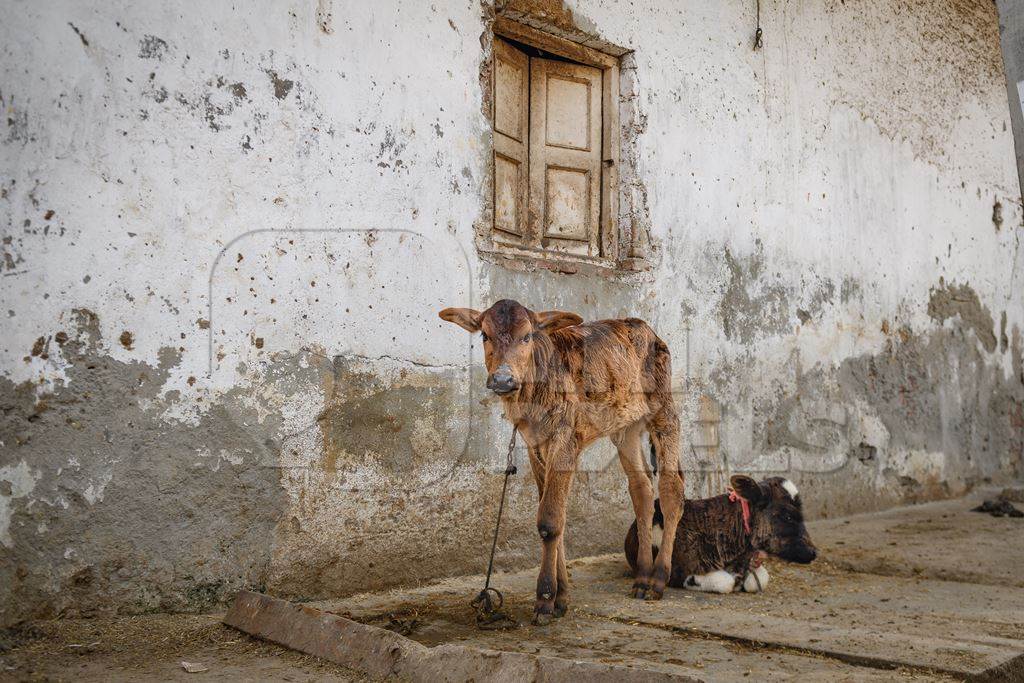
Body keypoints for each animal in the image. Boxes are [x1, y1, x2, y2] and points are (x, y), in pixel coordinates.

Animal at [436, 299, 684, 626]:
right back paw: (642, 577)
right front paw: (561, 597)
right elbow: (557, 517)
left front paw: (544, 599)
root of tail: (645, 328)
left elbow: (550, 521)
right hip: (625, 428)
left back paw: (658, 579)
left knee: (671, 491)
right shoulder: (535, 446)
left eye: (527, 337)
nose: (502, 379)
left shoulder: (565, 441)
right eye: (485, 335)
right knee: (641, 488)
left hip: (663, 409)